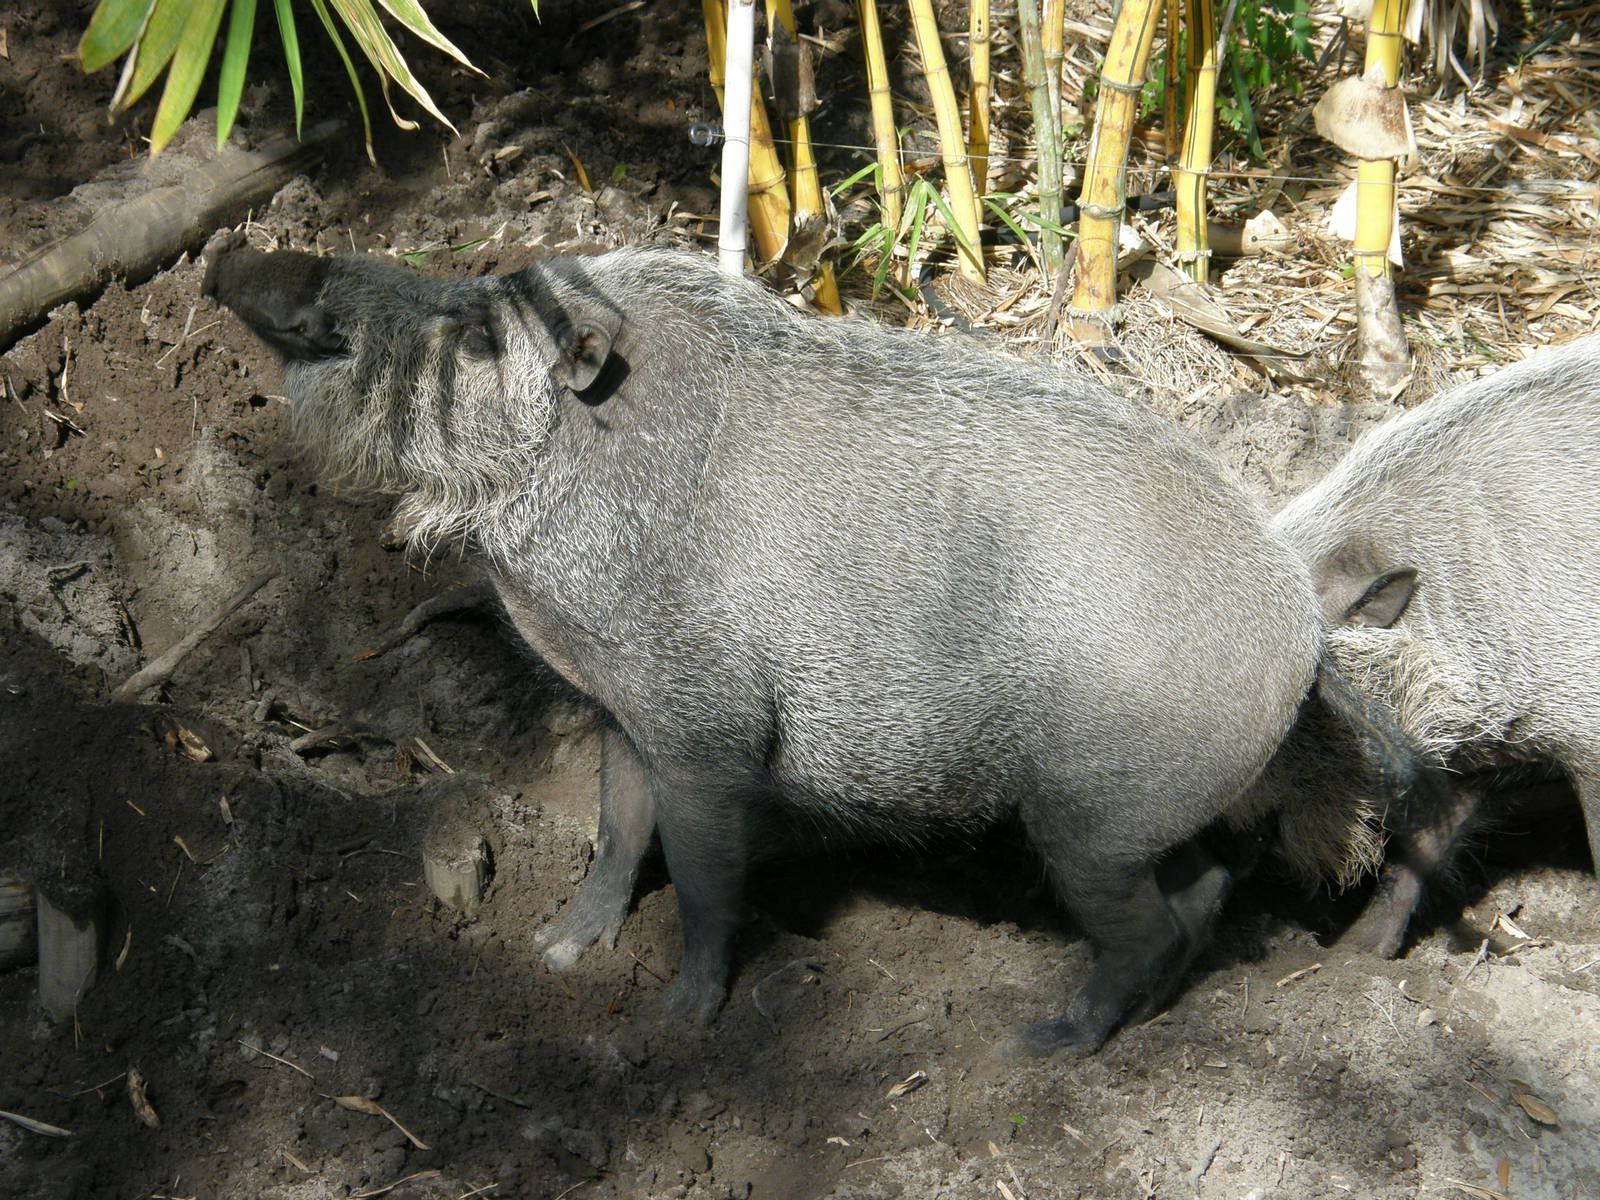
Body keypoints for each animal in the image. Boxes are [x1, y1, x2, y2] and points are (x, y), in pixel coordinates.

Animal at [204, 242, 1412, 1053]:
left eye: (477, 334)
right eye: (479, 291)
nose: (243, 256)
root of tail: (1300, 628)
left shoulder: (710, 731)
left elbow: (700, 874)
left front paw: (674, 1023)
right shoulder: (625, 709)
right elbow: (614, 832)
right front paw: (555, 948)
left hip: (1090, 816)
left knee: (1144, 927)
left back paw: (1040, 1043)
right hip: (1151, 808)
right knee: (1201, 892)